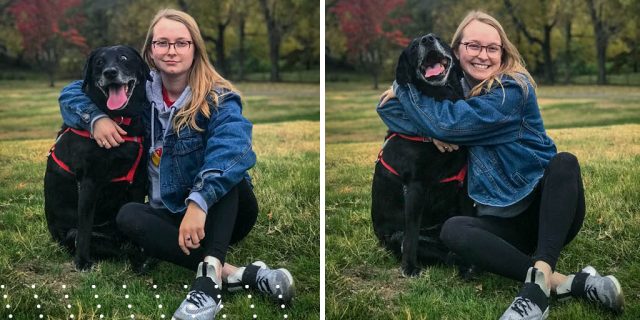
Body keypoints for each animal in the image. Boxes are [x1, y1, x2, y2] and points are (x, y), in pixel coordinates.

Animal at [43, 45, 151, 270]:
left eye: (124, 58)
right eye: (99, 62)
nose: (110, 73)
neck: (119, 120)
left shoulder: (138, 182)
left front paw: (140, 255)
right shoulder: (89, 182)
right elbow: (84, 229)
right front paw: (82, 262)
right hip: (71, 235)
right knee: (94, 242)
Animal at [370, 33, 476, 276]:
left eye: (438, 38)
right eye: (413, 46)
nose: (427, 39)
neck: (442, 98)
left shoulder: (464, 183)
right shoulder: (416, 185)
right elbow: (411, 235)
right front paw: (409, 268)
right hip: (396, 236)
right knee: (428, 248)